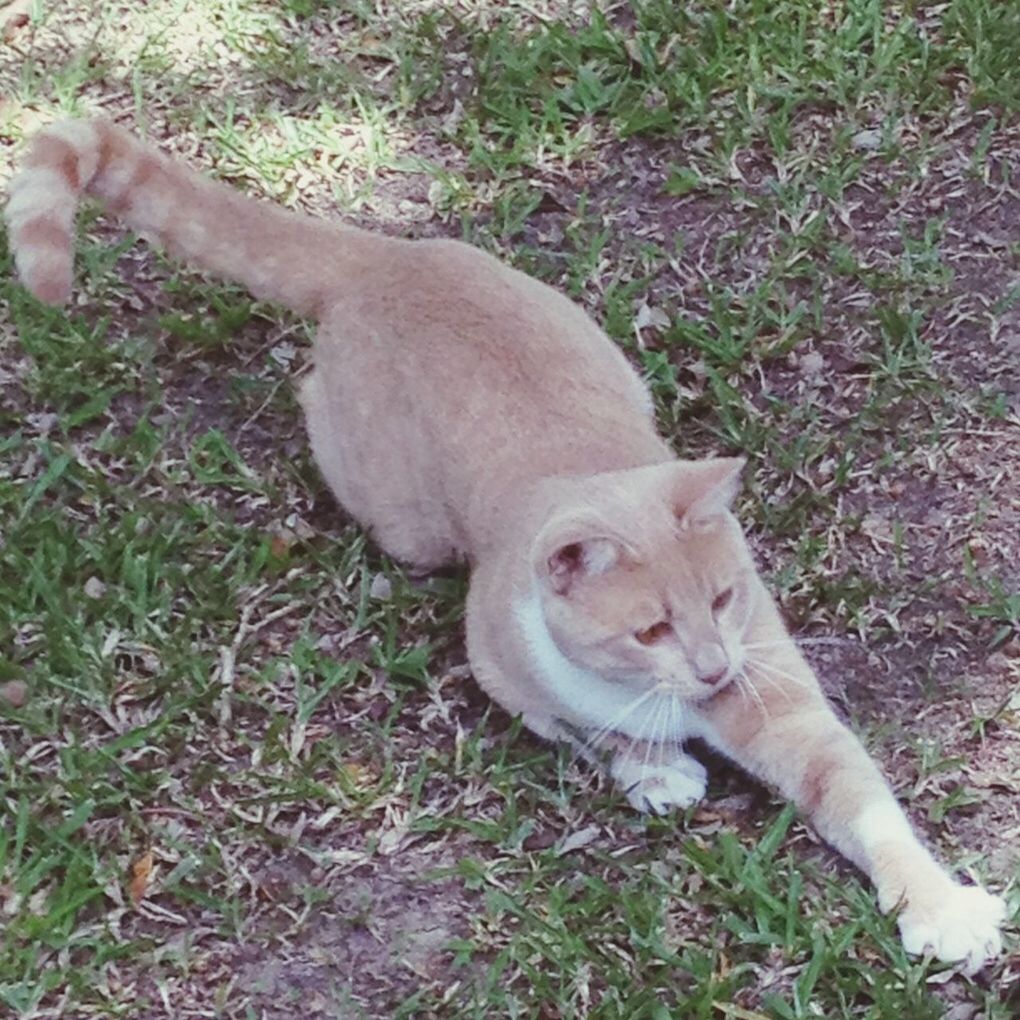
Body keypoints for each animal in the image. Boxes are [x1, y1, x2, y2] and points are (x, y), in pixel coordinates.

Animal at [3, 119, 1007, 971]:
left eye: (725, 599)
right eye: (650, 630)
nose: (715, 671)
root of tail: (390, 255)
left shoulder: (785, 704)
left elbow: (866, 805)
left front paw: (941, 909)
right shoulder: (501, 663)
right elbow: (587, 731)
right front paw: (654, 772)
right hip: (406, 526)